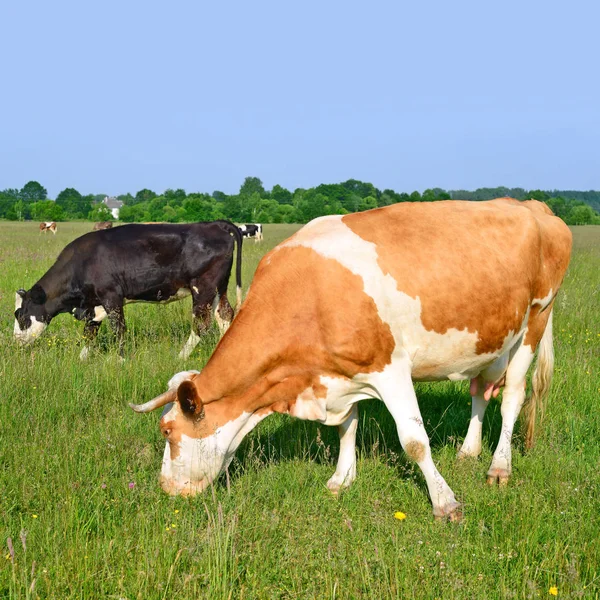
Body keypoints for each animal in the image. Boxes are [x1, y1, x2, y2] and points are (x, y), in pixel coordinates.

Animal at [12, 221, 241, 358]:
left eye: (20, 315)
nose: (15, 342)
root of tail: (214, 224)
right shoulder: (93, 303)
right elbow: (90, 332)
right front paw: (82, 359)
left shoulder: (111, 297)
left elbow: (118, 329)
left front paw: (120, 360)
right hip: (219, 288)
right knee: (224, 315)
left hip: (203, 287)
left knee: (202, 324)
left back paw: (181, 356)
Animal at [131, 199, 572, 516]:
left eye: (167, 432)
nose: (165, 489)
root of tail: (532, 204)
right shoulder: (341, 373)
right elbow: (347, 427)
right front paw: (342, 479)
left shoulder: (390, 367)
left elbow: (414, 441)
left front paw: (445, 503)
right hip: (491, 338)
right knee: (481, 389)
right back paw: (469, 450)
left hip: (536, 318)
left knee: (513, 396)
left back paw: (499, 466)